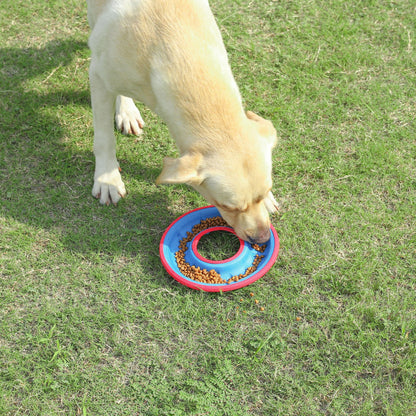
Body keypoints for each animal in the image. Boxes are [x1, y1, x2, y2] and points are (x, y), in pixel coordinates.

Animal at [86, 0, 278, 244]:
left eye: (263, 192)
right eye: (227, 206)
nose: (263, 238)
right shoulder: (99, 76)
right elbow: (104, 139)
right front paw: (107, 179)